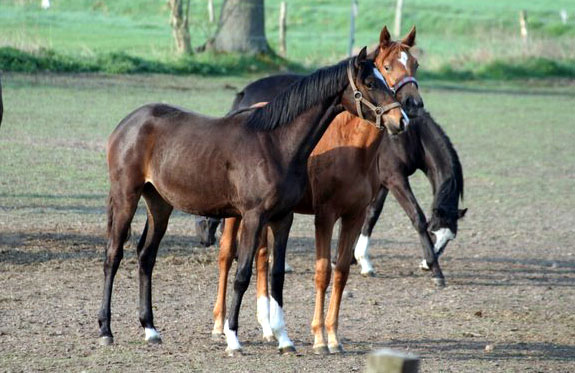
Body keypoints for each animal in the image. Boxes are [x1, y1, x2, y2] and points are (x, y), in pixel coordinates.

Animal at [99, 50, 404, 354]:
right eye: (370, 82)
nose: (401, 120)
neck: (275, 144)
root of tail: (127, 124)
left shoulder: (283, 218)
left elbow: (277, 275)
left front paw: (284, 339)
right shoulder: (254, 217)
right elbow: (243, 274)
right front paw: (233, 338)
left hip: (159, 204)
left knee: (146, 256)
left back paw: (150, 329)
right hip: (126, 196)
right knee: (113, 255)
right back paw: (106, 330)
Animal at [209, 25, 426, 352]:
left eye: (414, 64)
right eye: (386, 67)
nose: (409, 110)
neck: (354, 149)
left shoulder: (354, 216)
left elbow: (341, 271)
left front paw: (334, 336)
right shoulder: (325, 216)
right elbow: (322, 272)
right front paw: (319, 337)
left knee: (262, 258)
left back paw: (268, 327)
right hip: (237, 215)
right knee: (226, 256)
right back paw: (221, 325)